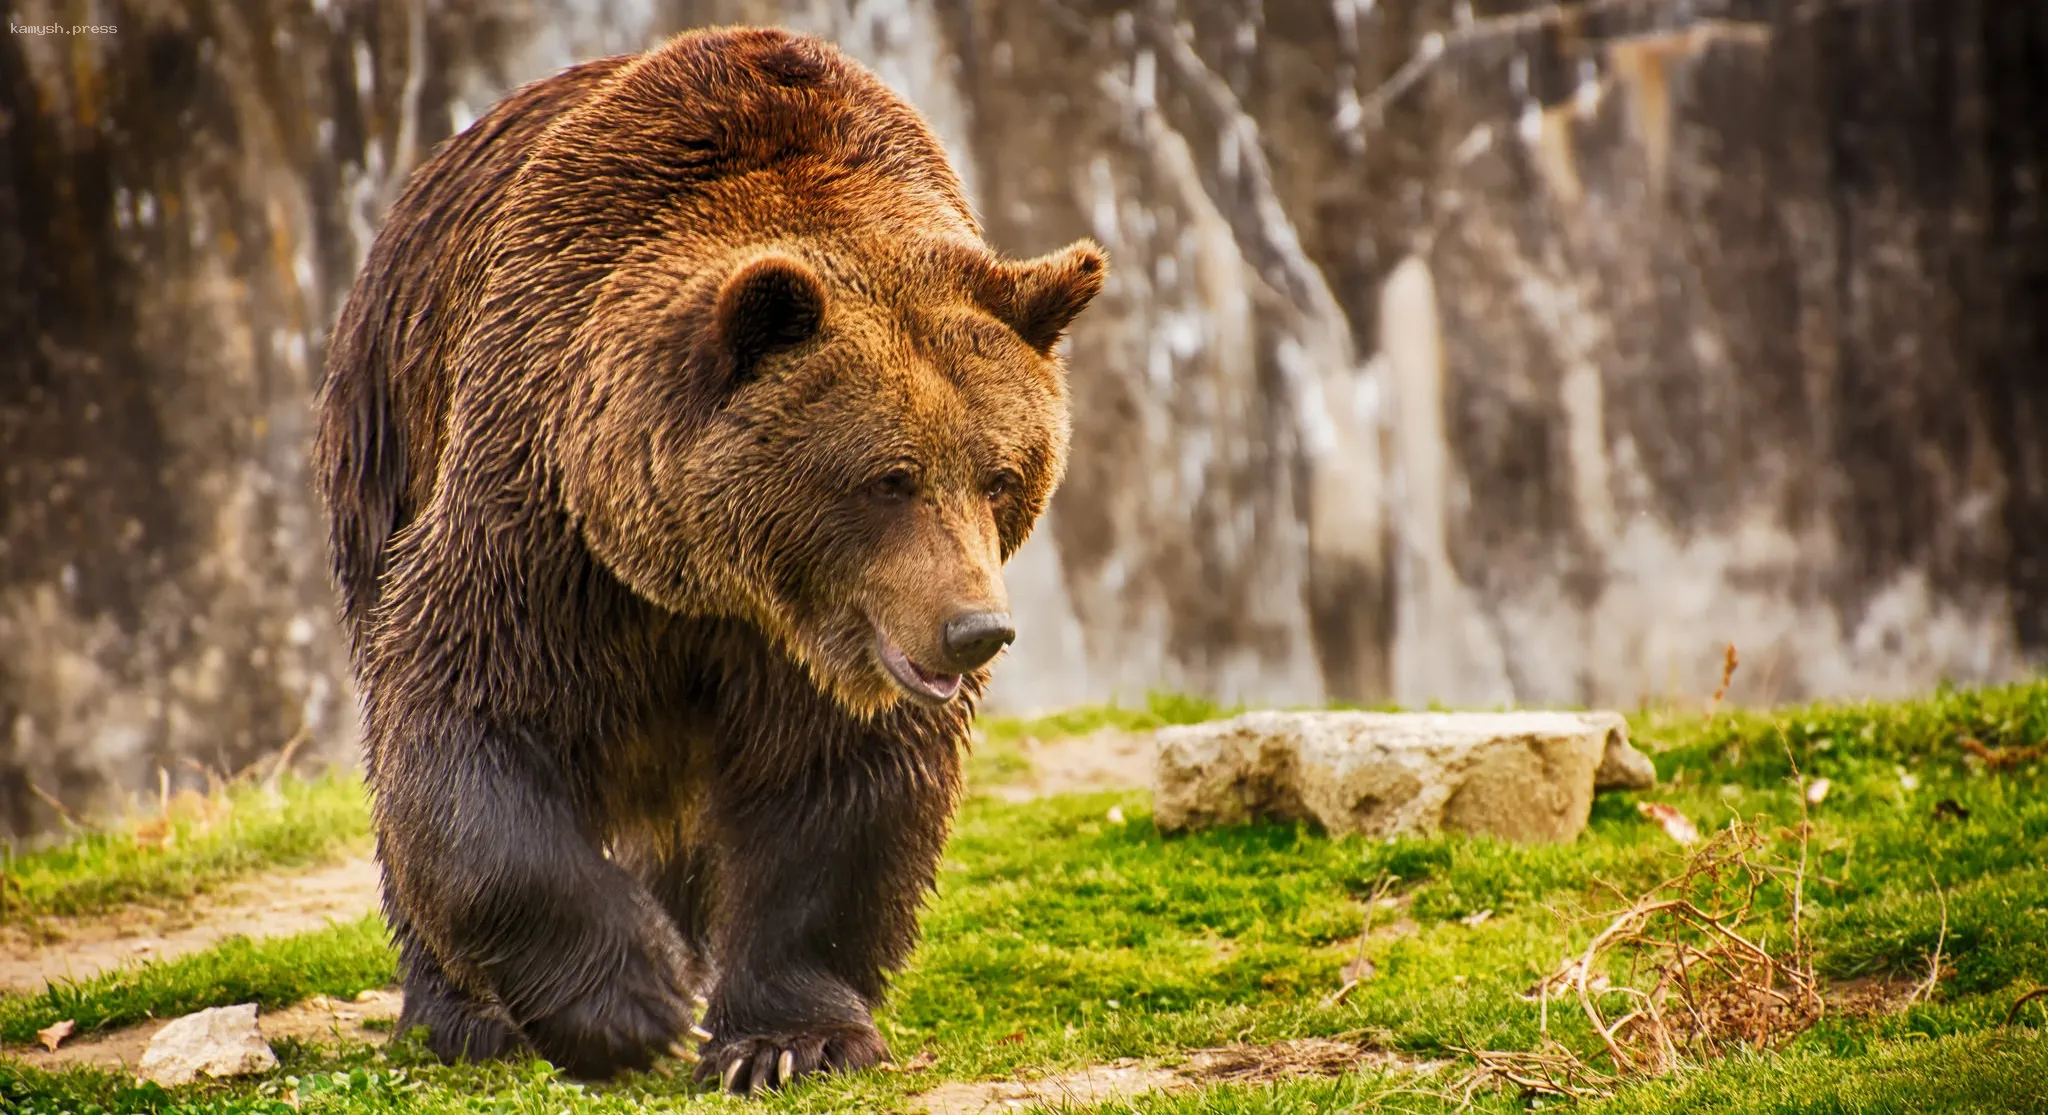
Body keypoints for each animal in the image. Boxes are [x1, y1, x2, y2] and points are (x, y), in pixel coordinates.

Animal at [309, 28, 1105, 1098]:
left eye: (1002, 474)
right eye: (890, 477)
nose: (976, 629)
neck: (707, 578)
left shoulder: (826, 646)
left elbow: (838, 789)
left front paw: (785, 1040)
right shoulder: (541, 520)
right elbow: (466, 718)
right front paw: (627, 1002)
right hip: (388, 429)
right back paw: (464, 1013)